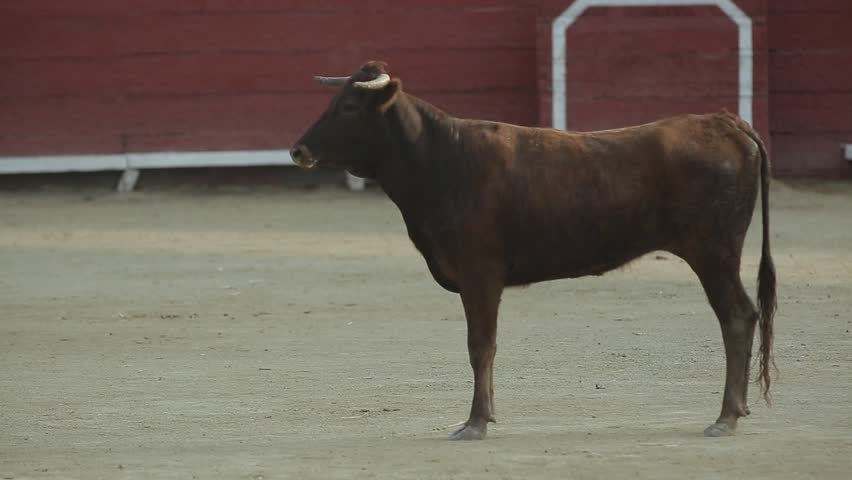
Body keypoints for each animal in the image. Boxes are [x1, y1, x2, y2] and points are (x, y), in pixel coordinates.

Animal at [290, 61, 776, 440]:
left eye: (349, 107)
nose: (298, 150)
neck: (441, 160)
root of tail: (726, 123)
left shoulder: (480, 273)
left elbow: (480, 344)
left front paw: (475, 423)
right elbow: (484, 345)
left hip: (713, 253)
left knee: (737, 316)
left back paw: (725, 417)